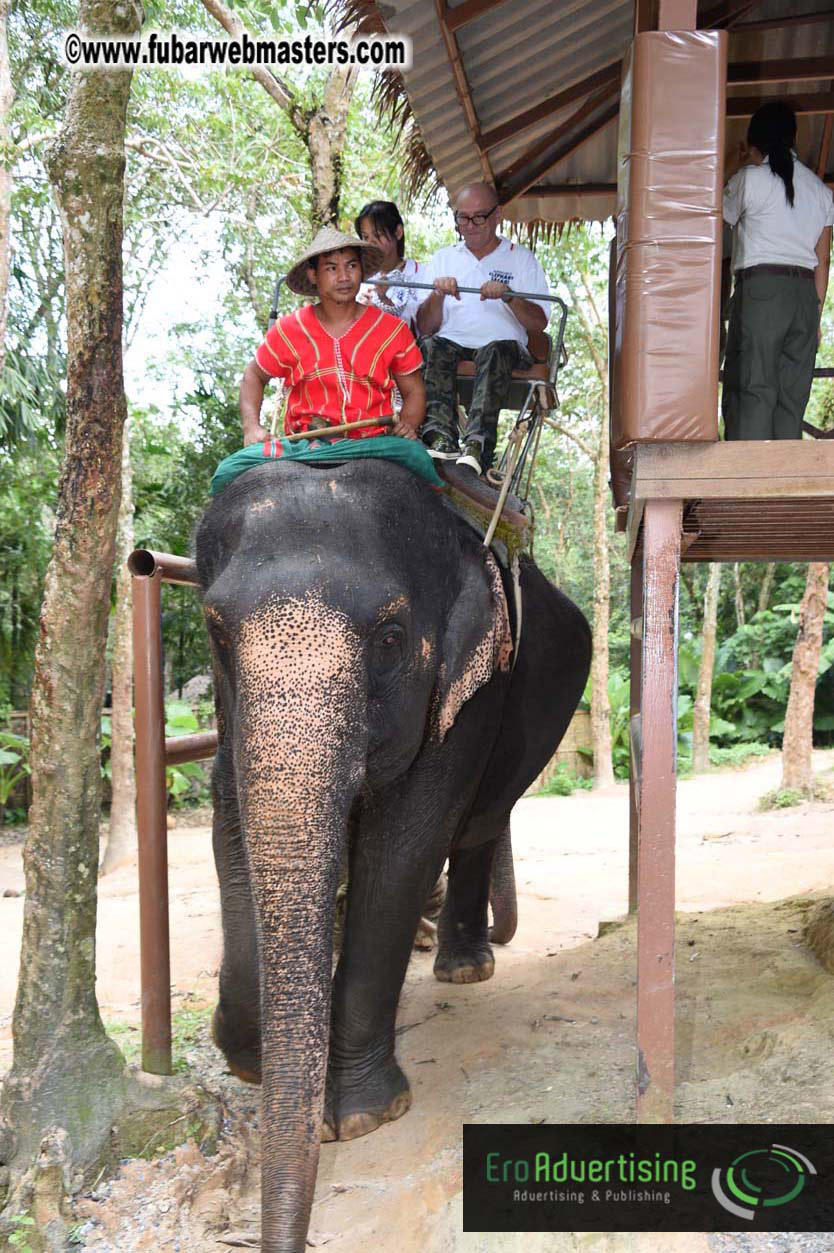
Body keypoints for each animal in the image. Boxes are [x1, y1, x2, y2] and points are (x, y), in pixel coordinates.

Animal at [195, 456, 591, 1253]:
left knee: (475, 824)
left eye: (390, 637)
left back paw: (464, 968)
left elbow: (405, 844)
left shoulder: (471, 689)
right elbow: (229, 818)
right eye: (216, 635)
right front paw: (248, 1055)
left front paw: (358, 1118)